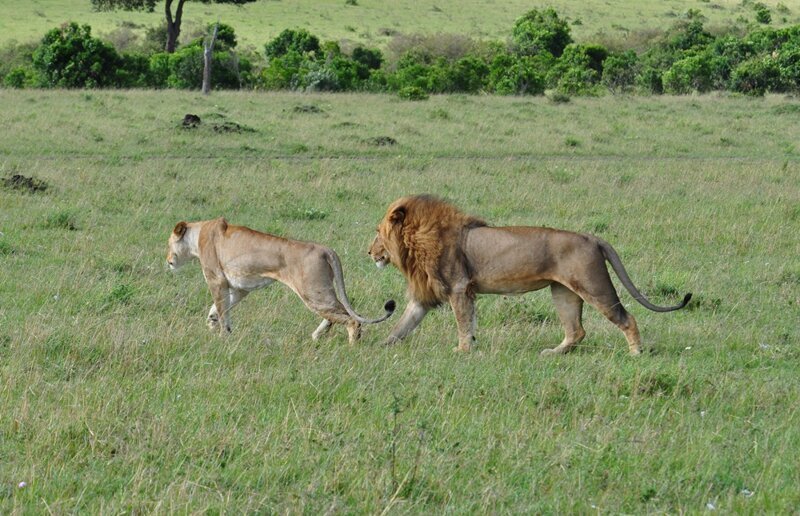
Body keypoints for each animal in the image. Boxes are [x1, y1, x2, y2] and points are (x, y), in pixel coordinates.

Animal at [168, 217, 394, 340]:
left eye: (169, 244)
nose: (168, 261)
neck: (196, 236)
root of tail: (325, 249)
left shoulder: (216, 280)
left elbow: (222, 309)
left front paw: (222, 334)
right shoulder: (240, 288)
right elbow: (220, 307)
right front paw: (213, 323)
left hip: (313, 292)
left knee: (351, 319)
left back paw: (351, 345)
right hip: (320, 291)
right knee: (341, 314)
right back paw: (316, 336)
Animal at [366, 195, 692, 354]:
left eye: (378, 233)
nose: (368, 252)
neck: (416, 241)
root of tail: (591, 237)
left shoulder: (459, 287)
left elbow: (462, 323)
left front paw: (461, 350)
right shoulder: (427, 296)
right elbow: (403, 325)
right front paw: (379, 347)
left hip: (594, 286)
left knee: (626, 318)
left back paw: (636, 353)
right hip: (563, 292)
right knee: (577, 331)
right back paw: (554, 353)